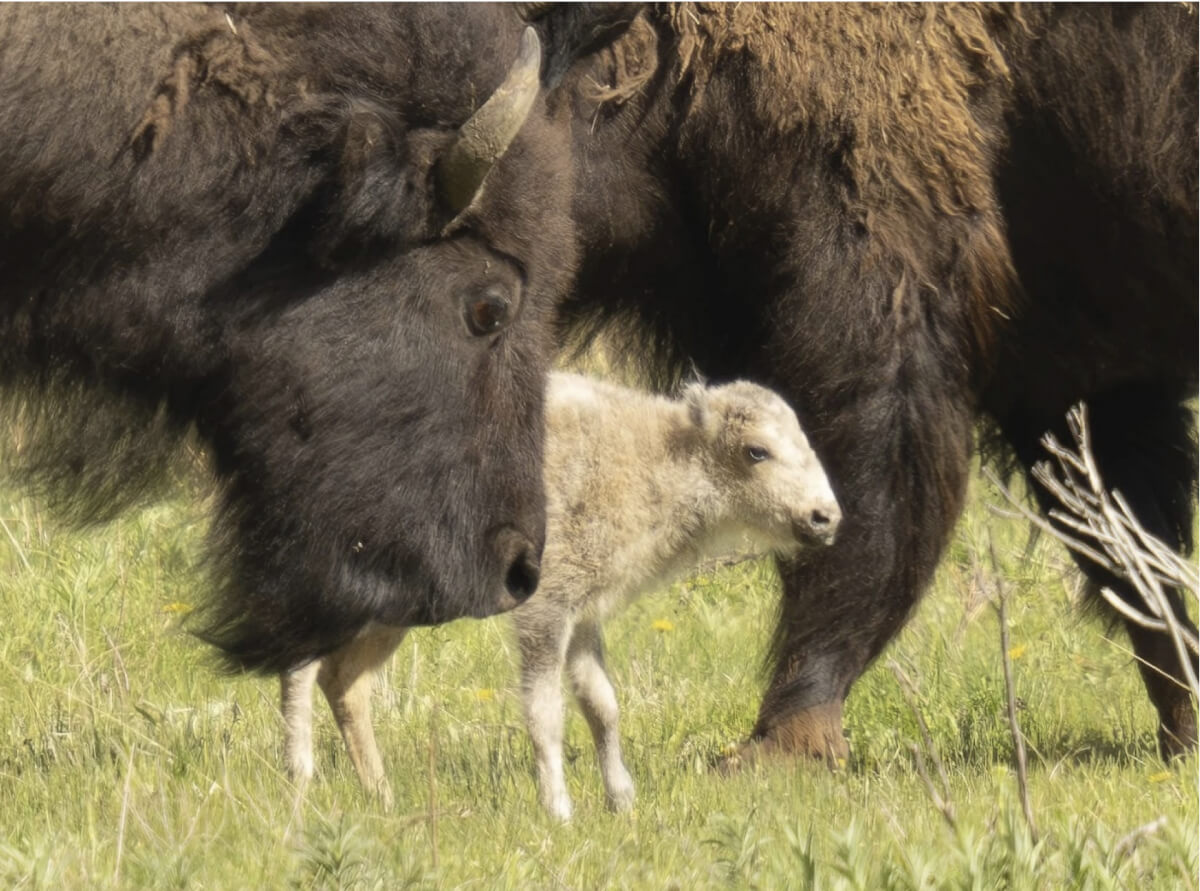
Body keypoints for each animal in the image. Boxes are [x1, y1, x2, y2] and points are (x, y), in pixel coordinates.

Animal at [282, 369, 844, 816]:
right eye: (757, 450)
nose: (826, 517)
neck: (658, 456)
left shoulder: (583, 615)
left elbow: (601, 704)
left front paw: (623, 802)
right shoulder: (546, 612)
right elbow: (545, 712)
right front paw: (559, 810)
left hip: (390, 610)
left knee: (345, 681)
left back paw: (382, 797)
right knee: (305, 667)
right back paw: (302, 778)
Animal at [554, 5, 1200, 758]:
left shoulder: (880, 298)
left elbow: (867, 503)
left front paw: (782, 742)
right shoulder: (1071, 376)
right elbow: (1130, 551)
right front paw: (1184, 725)